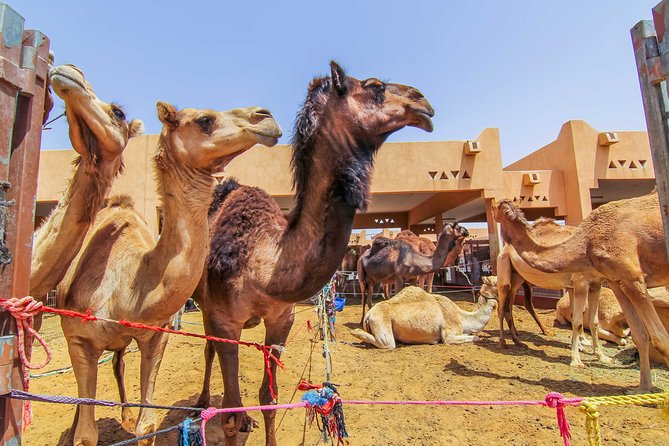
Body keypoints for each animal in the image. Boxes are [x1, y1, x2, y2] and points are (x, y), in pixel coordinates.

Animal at [57, 102, 281, 445]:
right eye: (205, 119)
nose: (265, 115)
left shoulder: (156, 334)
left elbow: (147, 424)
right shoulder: (79, 338)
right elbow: (86, 433)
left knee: (120, 362)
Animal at [195, 62, 438, 446]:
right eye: (374, 86)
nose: (422, 101)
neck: (264, 264)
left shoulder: (282, 318)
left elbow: (270, 398)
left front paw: (258, 419)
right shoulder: (224, 320)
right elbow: (230, 411)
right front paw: (232, 419)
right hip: (205, 307)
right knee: (207, 351)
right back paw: (203, 402)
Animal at [351, 278, 497, 349]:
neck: (461, 316)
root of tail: (368, 315)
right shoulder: (449, 334)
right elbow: (475, 337)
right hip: (382, 325)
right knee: (387, 343)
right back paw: (355, 332)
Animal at [493, 193, 669, 390]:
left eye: (494, 208)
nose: (493, 214)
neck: (582, 245)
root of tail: (504, 250)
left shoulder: (596, 282)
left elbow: (592, 321)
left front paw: (599, 355)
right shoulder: (584, 282)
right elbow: (578, 320)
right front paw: (577, 359)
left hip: (518, 277)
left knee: (513, 304)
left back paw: (519, 338)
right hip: (506, 271)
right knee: (504, 304)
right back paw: (505, 341)